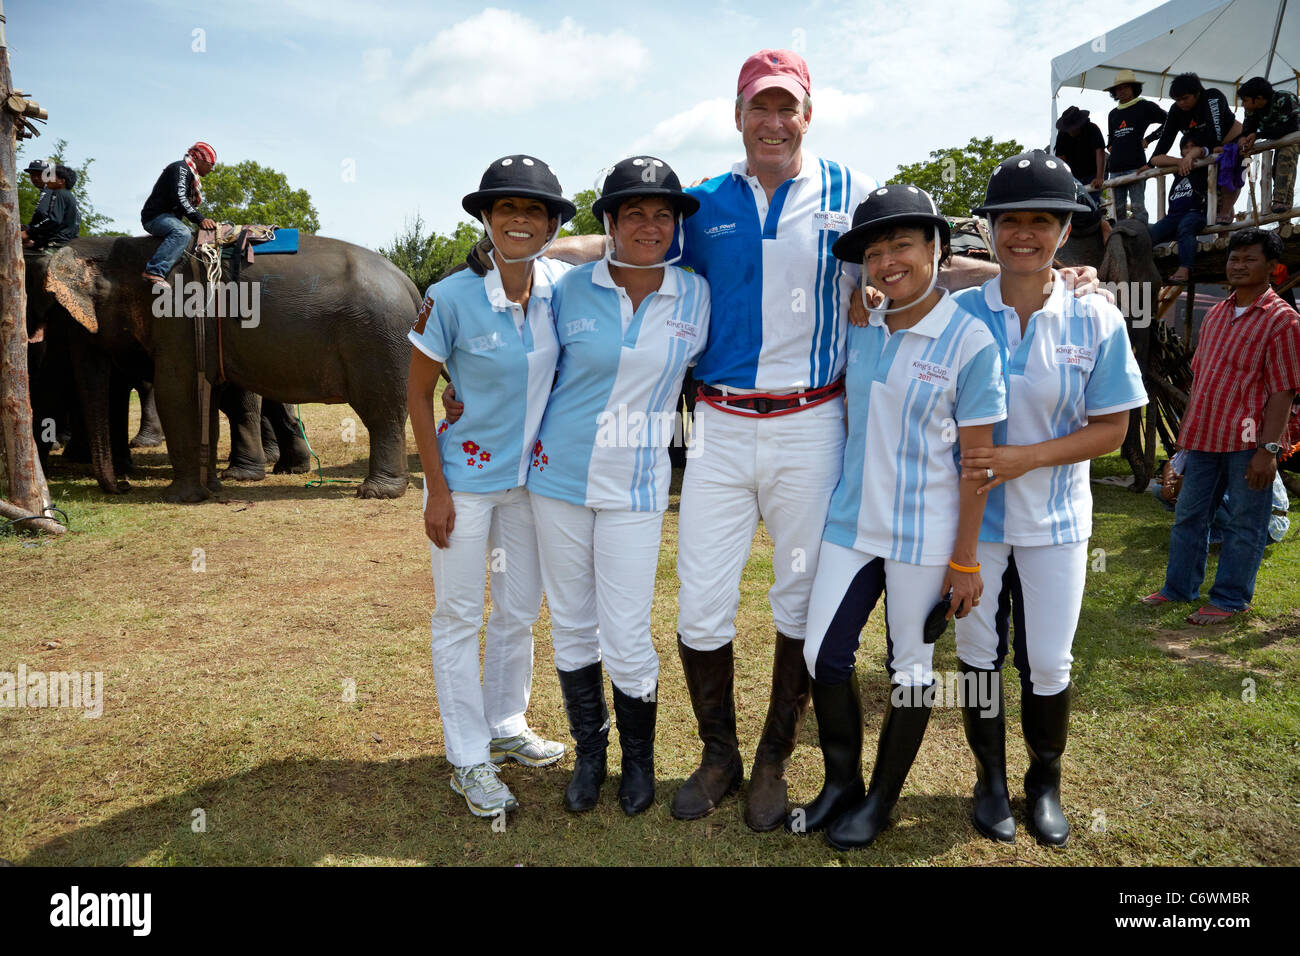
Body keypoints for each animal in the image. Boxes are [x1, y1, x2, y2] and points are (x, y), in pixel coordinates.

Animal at [27, 234, 418, 502]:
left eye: (59, 317)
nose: (122, 487)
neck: (131, 248)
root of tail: (409, 283)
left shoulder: (179, 317)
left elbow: (176, 391)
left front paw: (179, 498)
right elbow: (205, 398)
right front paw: (211, 488)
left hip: (378, 339)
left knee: (382, 410)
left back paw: (376, 492)